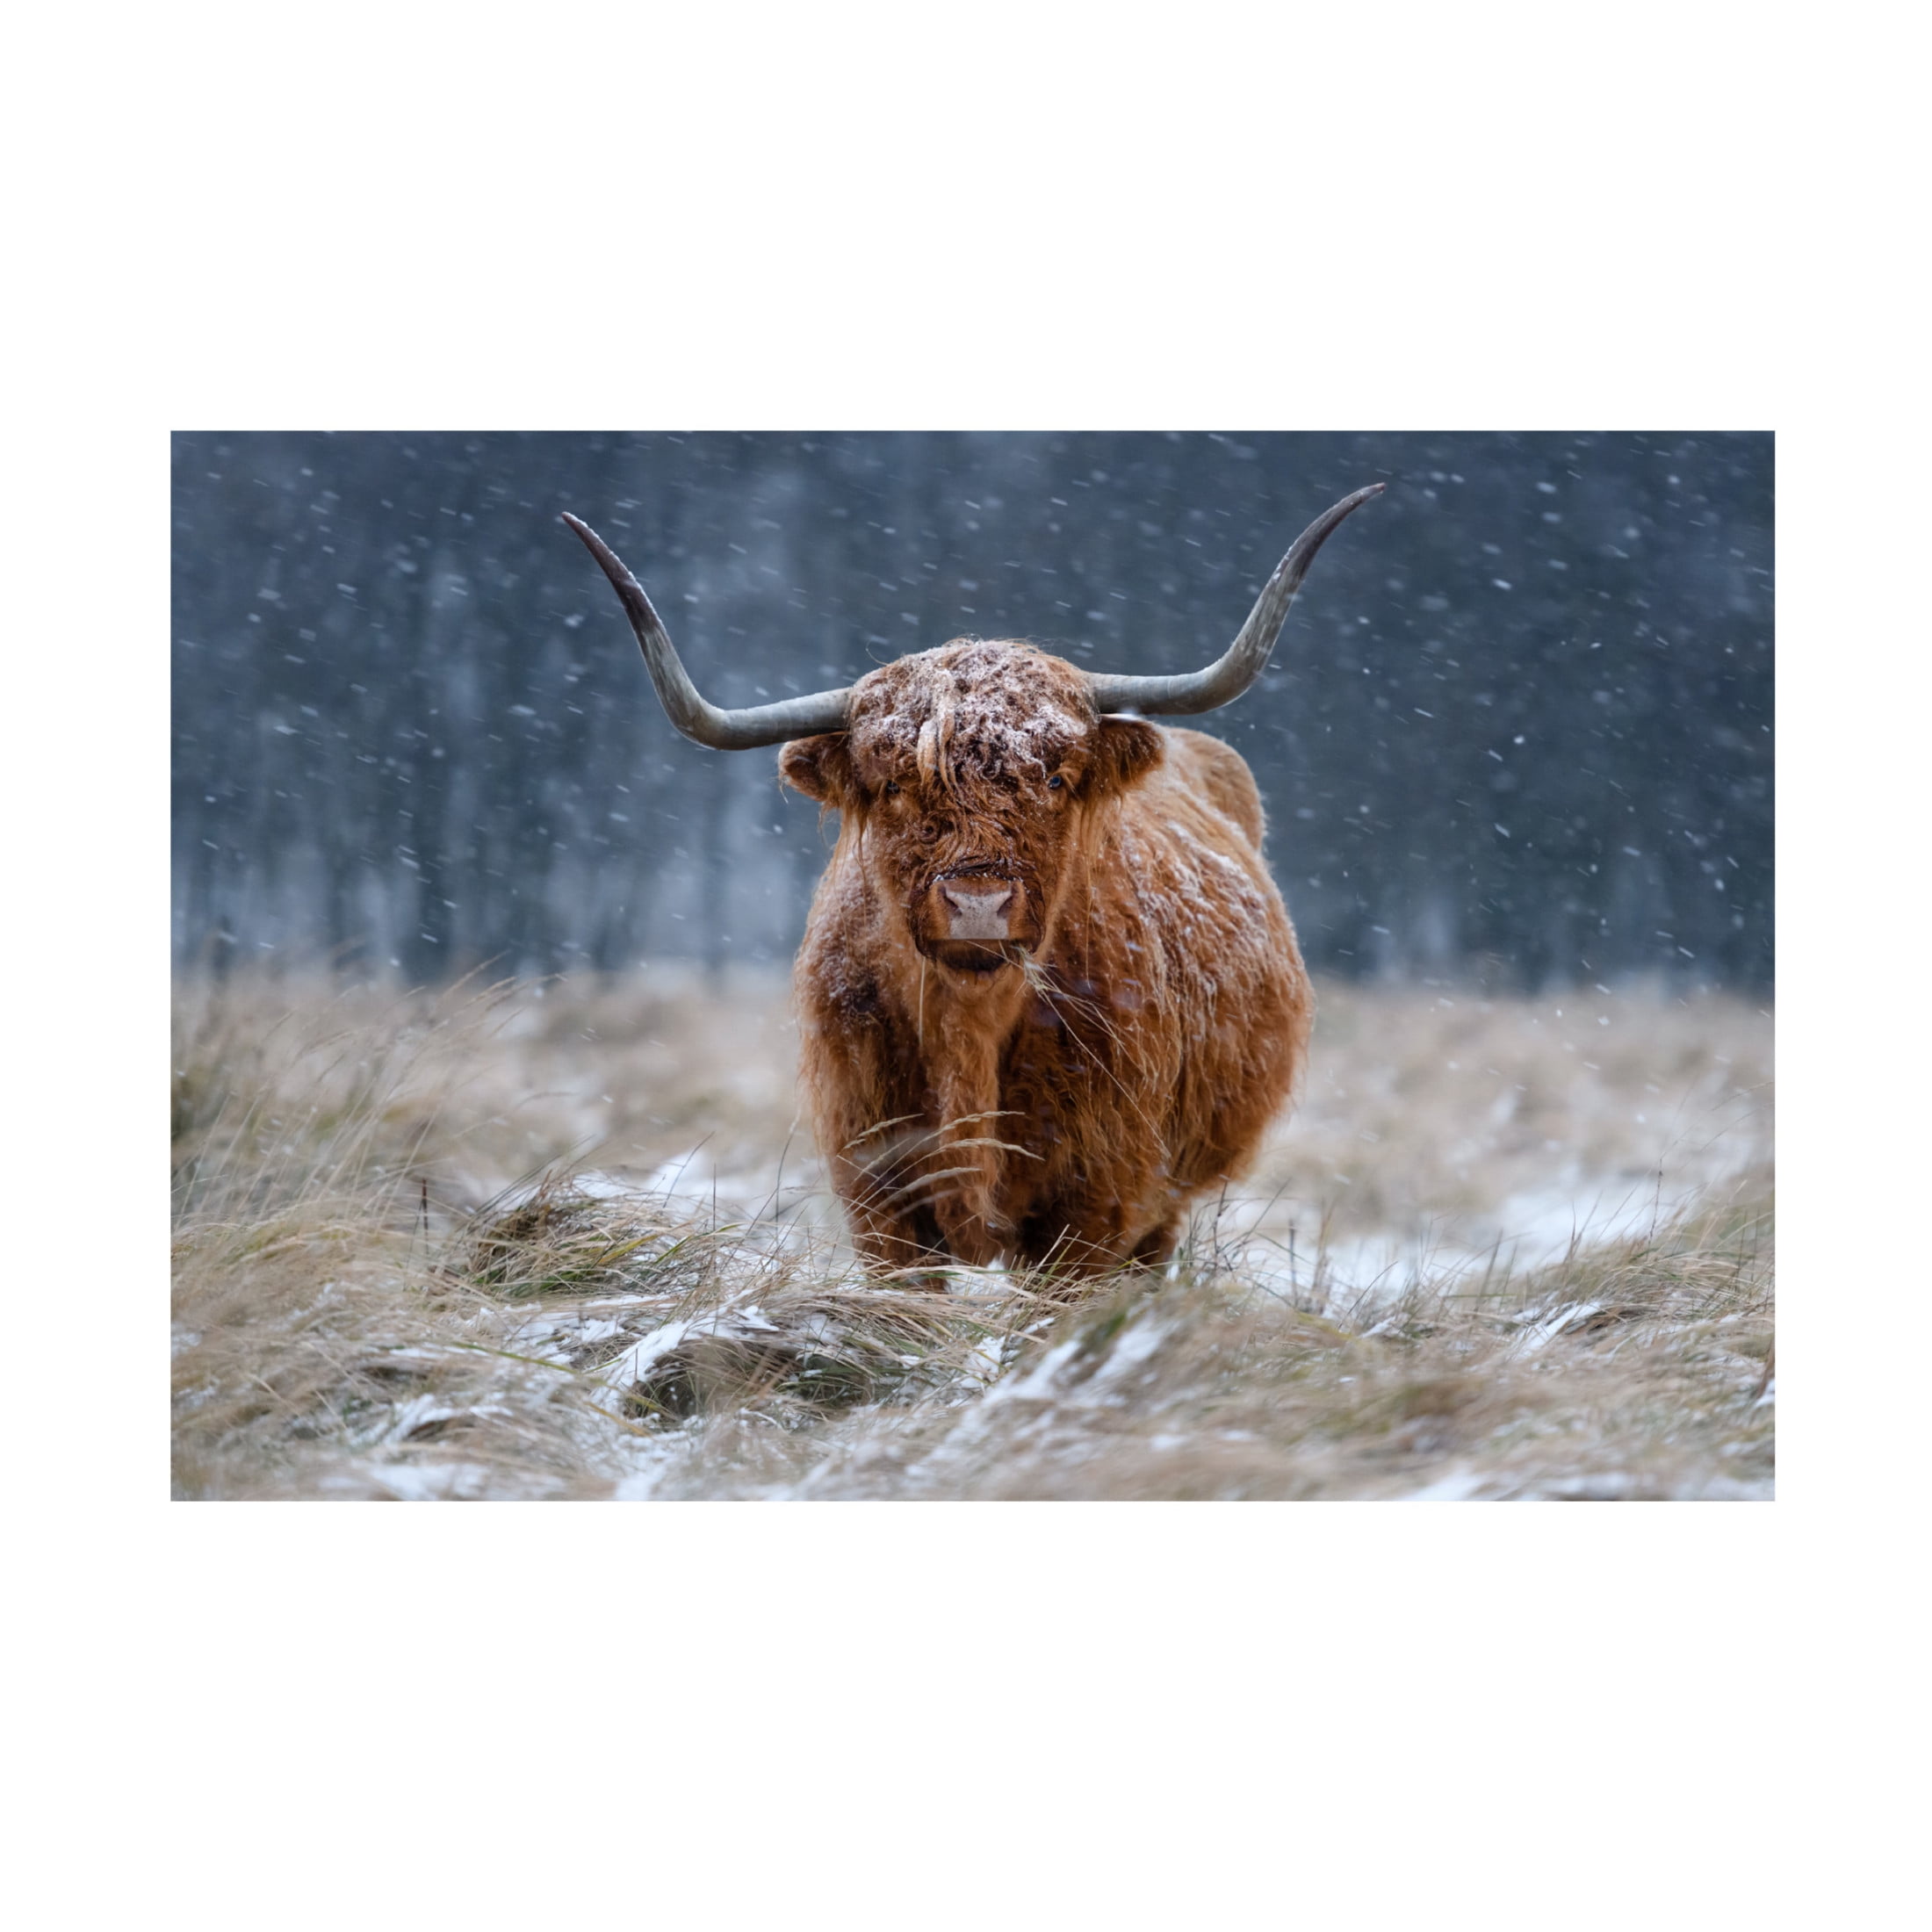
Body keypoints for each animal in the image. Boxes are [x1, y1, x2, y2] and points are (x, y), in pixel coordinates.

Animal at [564, 484, 1381, 1279]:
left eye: (1054, 778)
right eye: (895, 785)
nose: (978, 903)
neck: (970, 1030)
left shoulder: (1098, 1201)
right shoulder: (878, 1193)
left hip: (1166, 1201)